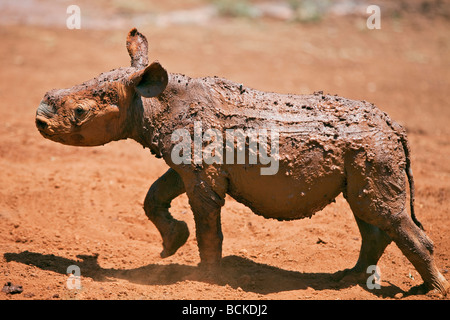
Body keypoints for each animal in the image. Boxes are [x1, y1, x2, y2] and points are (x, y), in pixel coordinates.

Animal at [35, 28, 446, 296]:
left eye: (80, 113)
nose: (39, 120)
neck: (150, 101)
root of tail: (395, 128)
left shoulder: (201, 174)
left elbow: (208, 225)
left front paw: (205, 278)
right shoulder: (186, 163)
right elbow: (154, 195)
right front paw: (171, 245)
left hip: (374, 148)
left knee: (382, 213)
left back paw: (432, 292)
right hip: (365, 153)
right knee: (368, 212)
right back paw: (345, 281)